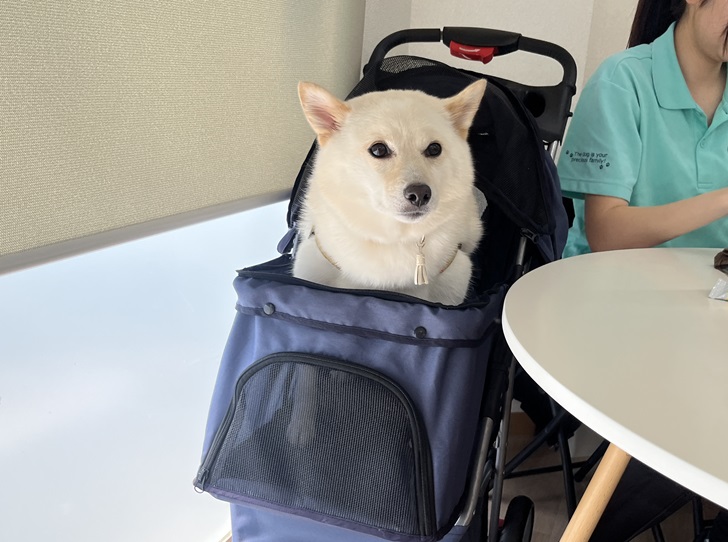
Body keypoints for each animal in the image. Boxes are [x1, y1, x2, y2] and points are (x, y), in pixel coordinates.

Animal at [284, 81, 487, 447]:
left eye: (434, 149)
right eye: (379, 150)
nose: (420, 193)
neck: (391, 241)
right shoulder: (308, 305)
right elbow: (306, 375)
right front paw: (301, 428)